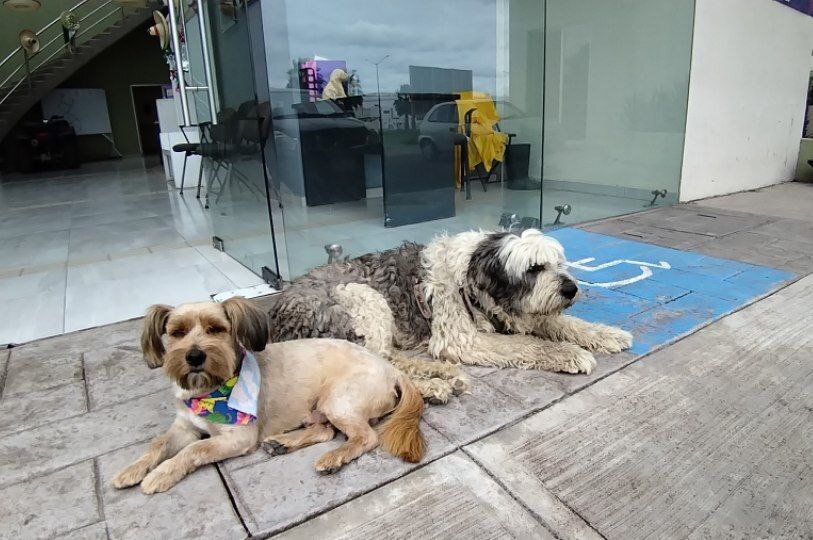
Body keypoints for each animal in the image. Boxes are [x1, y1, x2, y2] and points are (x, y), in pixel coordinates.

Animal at [112, 298, 426, 496]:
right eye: (177, 333)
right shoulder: (185, 425)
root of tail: (392, 369)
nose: (194, 356)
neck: (208, 391)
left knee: (365, 437)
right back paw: (283, 443)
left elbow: (195, 449)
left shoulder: (238, 437)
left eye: (216, 329)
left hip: (338, 400)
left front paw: (160, 474)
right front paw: (132, 469)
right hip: (321, 406)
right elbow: (159, 443)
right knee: (324, 431)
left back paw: (333, 457)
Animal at [270, 228, 632, 400]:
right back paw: (432, 387)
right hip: (362, 297)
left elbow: (561, 322)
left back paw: (442, 374)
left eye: (558, 263)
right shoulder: (462, 338)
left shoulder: (522, 311)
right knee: (377, 363)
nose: (571, 289)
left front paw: (606, 334)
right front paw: (571, 354)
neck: (472, 273)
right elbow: (529, 344)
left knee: (388, 359)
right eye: (534, 268)